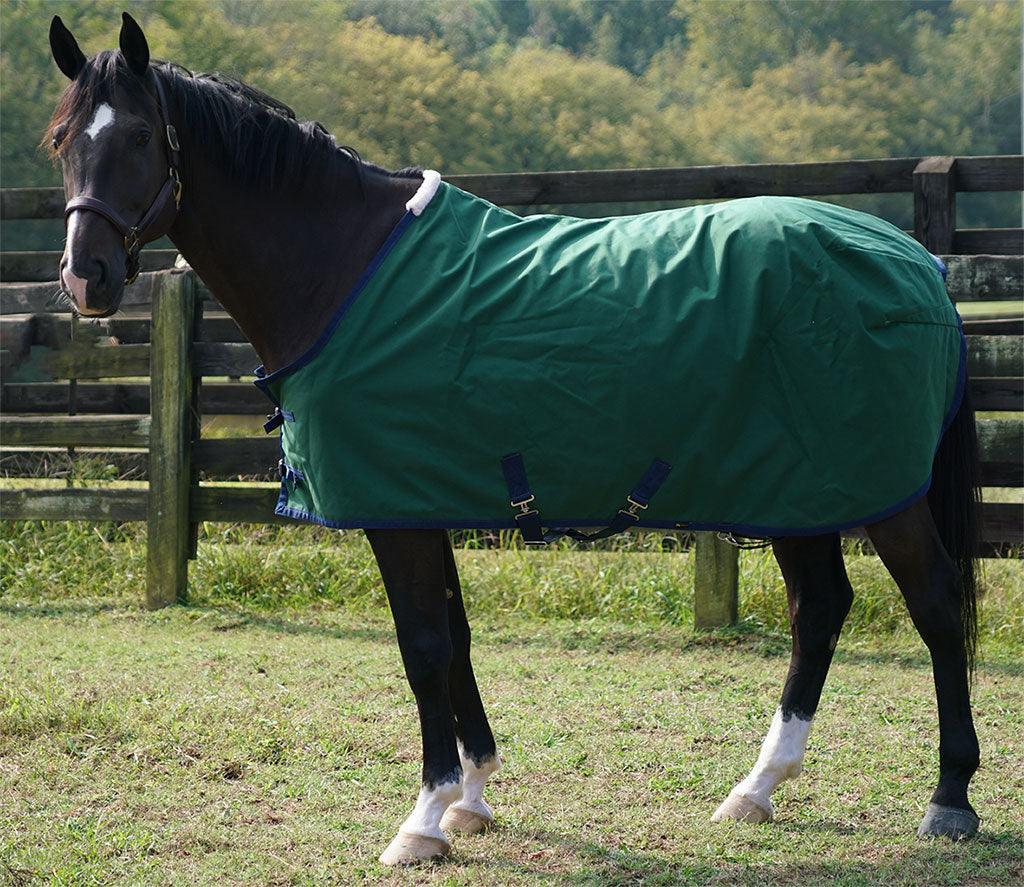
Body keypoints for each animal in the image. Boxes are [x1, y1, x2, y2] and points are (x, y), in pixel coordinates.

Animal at [45, 13, 983, 865]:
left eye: (138, 135)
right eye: (61, 142)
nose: (86, 278)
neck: (345, 267)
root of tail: (916, 262)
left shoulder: (396, 509)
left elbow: (422, 647)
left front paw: (421, 821)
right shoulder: (420, 494)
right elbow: (455, 639)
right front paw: (472, 798)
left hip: (867, 492)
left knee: (936, 603)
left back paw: (949, 798)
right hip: (798, 487)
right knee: (819, 608)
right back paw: (756, 788)